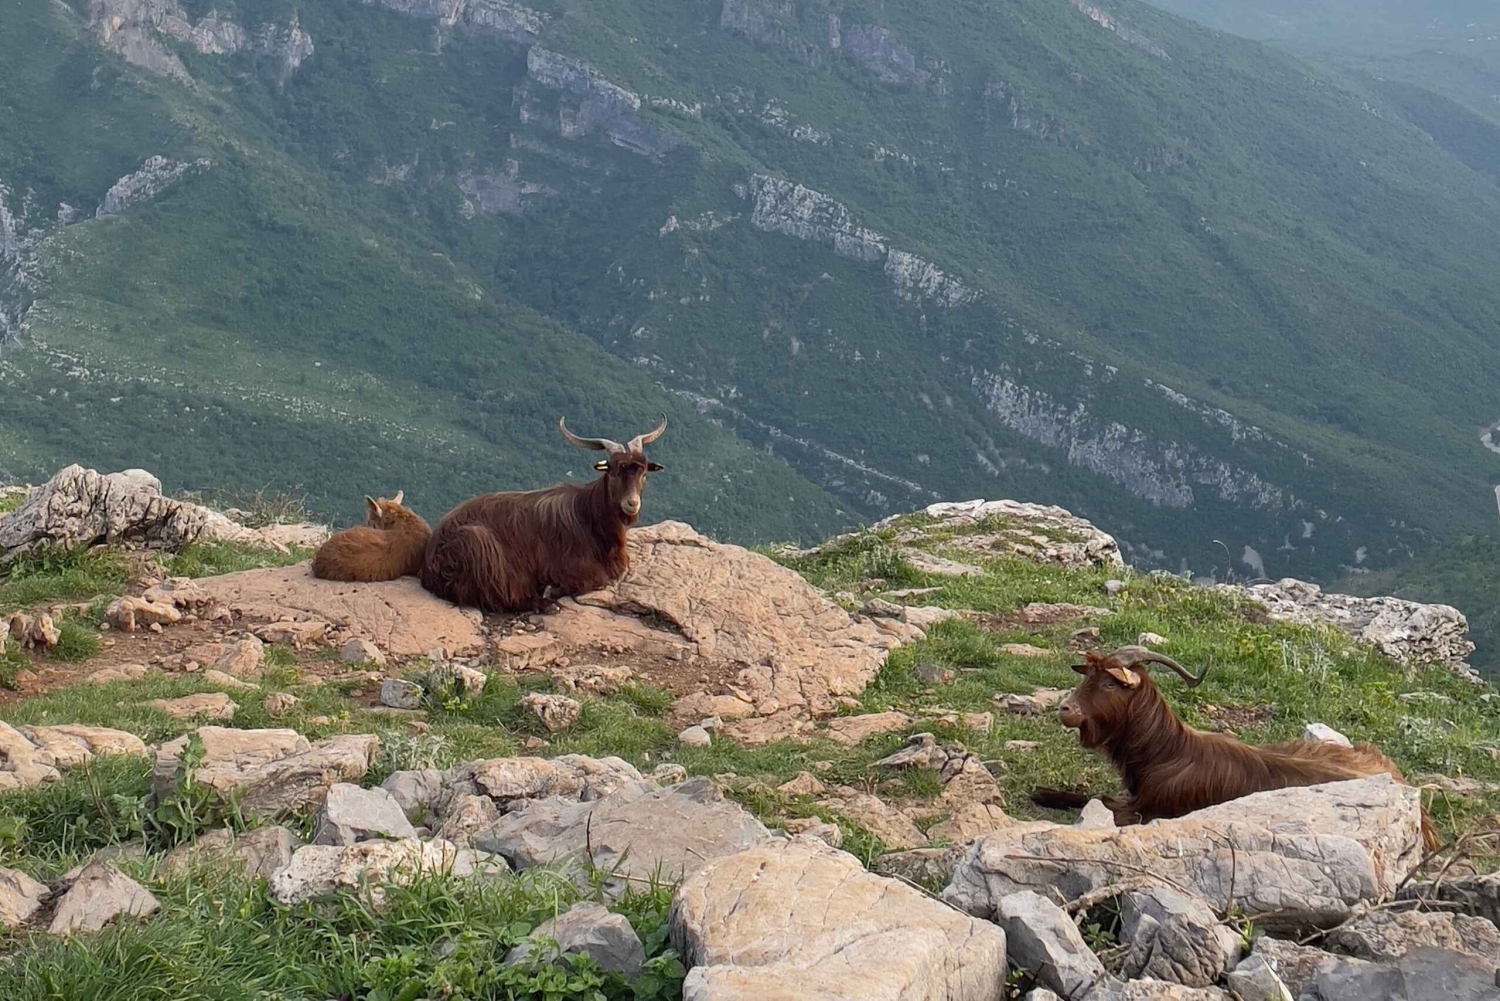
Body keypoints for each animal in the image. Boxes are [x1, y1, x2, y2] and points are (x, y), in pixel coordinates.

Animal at [419, 416, 666, 613]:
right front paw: (550, 589)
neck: (587, 515)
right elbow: (597, 579)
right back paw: (543, 603)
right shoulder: (573, 564)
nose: (632, 503)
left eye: (643, 473)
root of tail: (430, 564)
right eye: (613, 472)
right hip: (477, 541)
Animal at [1030, 645, 1438, 849]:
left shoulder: (1148, 808)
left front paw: (1042, 793)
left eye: (1110, 684)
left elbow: (1095, 800)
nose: (1066, 709)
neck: (1166, 753)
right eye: (1088, 677)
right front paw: (1042, 793)